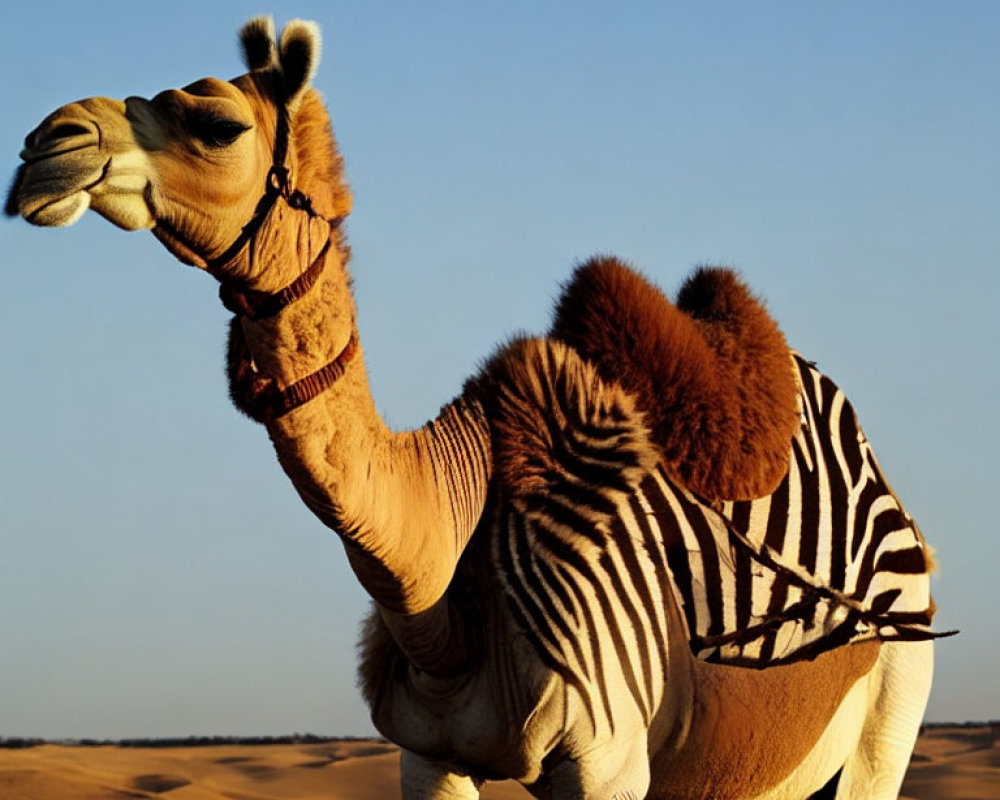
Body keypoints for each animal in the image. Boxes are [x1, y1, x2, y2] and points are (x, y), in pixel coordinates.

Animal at [9, 15, 944, 796]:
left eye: (216, 125)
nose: (44, 143)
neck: (445, 559)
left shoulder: (605, 762)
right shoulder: (428, 756)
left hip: (893, 703)